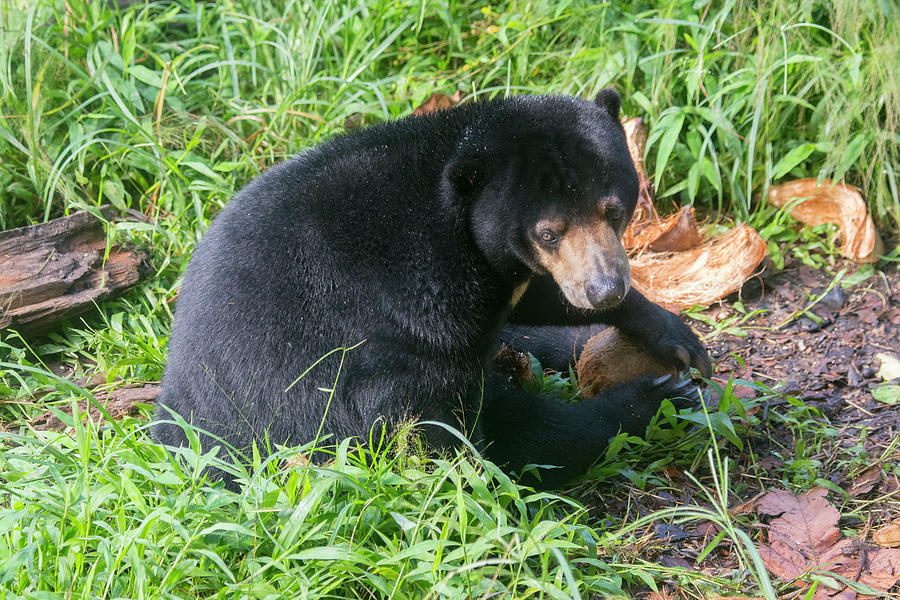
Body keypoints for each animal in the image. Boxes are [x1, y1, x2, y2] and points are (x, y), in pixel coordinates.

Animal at [153, 89, 712, 488]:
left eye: (614, 210)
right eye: (548, 232)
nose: (604, 290)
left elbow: (535, 295)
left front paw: (674, 336)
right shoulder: (408, 322)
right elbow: (466, 438)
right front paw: (656, 396)